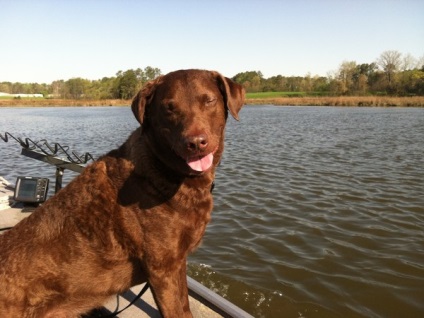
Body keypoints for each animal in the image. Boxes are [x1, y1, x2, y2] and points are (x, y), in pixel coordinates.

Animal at [0, 70, 245, 318]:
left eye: (209, 101)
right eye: (169, 108)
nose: (195, 143)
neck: (169, 173)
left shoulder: (178, 262)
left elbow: (185, 307)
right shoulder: (163, 269)